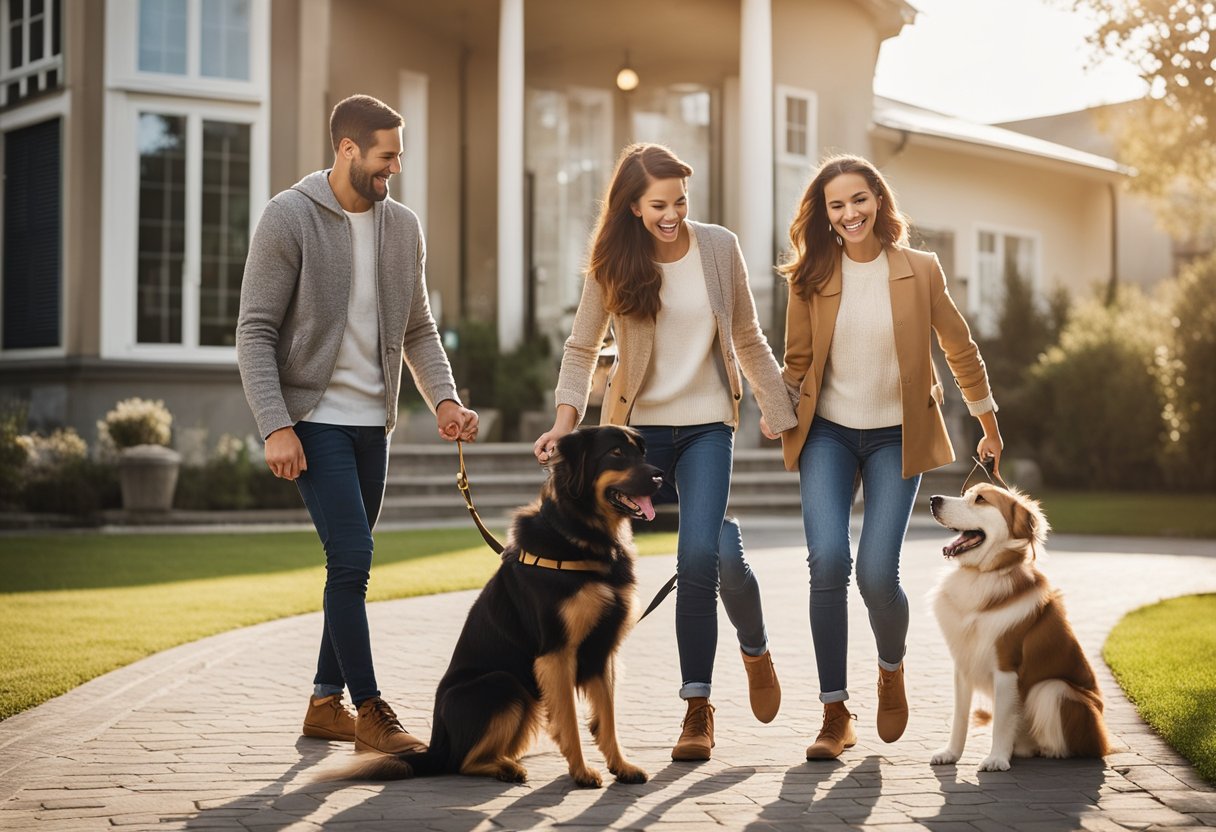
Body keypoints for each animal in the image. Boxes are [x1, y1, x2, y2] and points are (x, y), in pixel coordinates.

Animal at [328, 428, 661, 788]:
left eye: (641, 453)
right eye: (616, 453)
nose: (660, 477)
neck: (581, 535)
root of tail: (437, 745)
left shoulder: (602, 652)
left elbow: (607, 718)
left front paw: (621, 766)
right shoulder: (557, 653)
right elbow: (570, 720)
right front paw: (582, 772)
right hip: (505, 684)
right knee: (462, 762)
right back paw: (505, 768)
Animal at [924, 484, 1108, 768]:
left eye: (980, 499)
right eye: (965, 493)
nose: (933, 500)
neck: (981, 575)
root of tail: (1103, 741)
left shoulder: (1006, 666)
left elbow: (1001, 720)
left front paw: (997, 759)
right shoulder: (963, 666)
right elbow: (959, 718)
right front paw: (951, 753)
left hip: (1054, 690)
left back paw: (1048, 751)